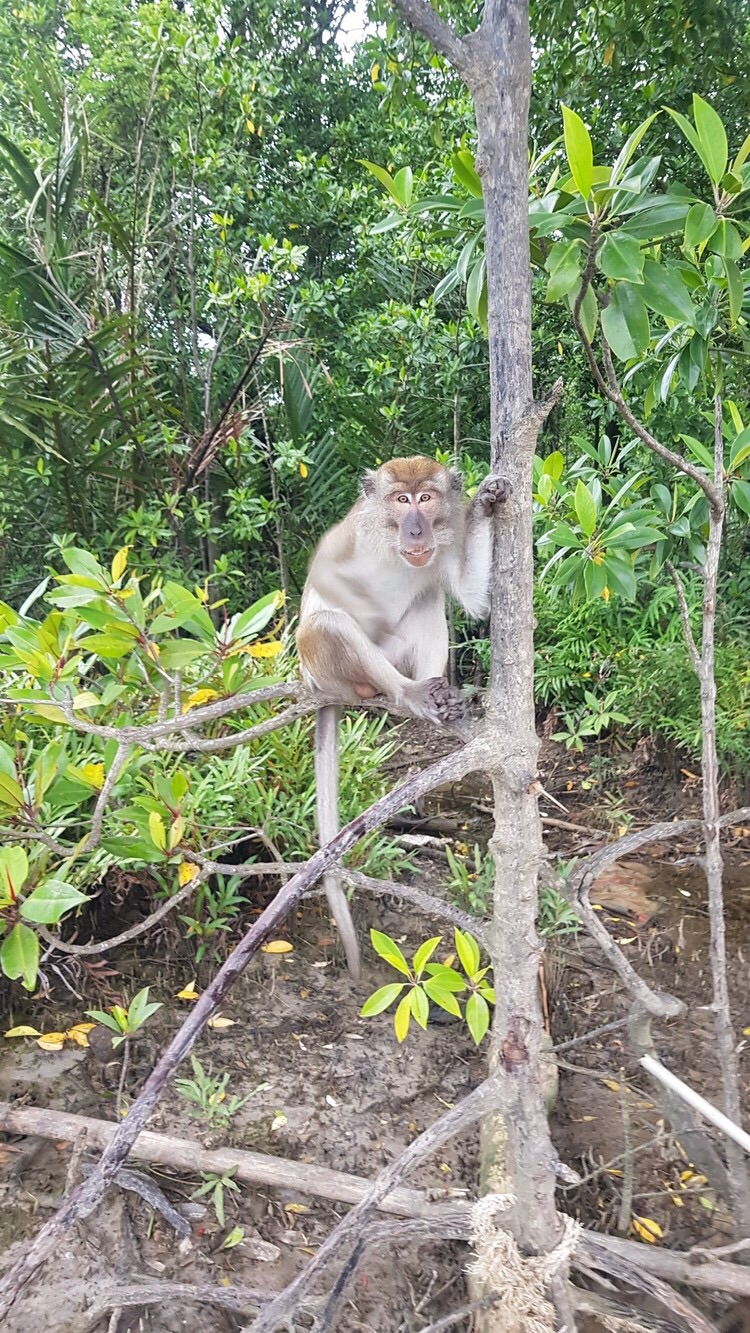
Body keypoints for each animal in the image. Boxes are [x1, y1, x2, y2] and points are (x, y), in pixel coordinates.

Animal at [297, 458, 514, 981]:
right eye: (401, 500)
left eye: (426, 498)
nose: (416, 529)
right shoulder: (350, 536)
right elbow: (322, 577)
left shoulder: (444, 544)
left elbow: (469, 597)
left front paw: (484, 503)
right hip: (323, 667)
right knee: (328, 623)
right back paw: (406, 694)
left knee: (429, 598)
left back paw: (438, 699)